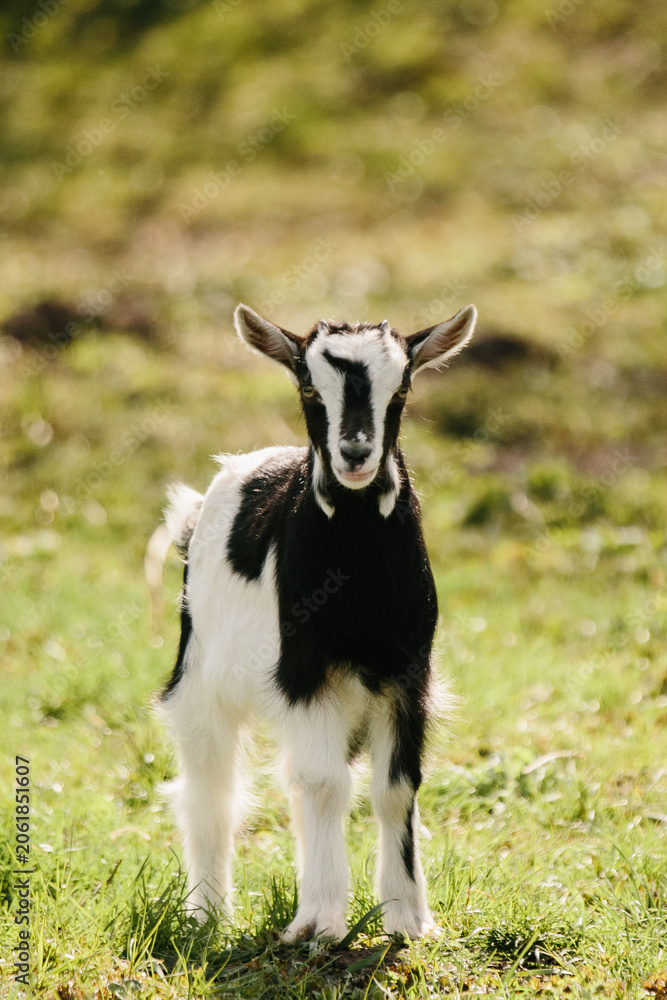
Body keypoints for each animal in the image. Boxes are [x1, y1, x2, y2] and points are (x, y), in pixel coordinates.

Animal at [159, 301, 477, 941]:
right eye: (308, 385)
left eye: (401, 387)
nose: (355, 453)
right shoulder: (305, 671)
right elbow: (327, 784)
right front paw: (323, 922)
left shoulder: (408, 674)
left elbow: (395, 787)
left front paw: (407, 919)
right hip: (199, 672)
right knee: (212, 789)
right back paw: (208, 915)